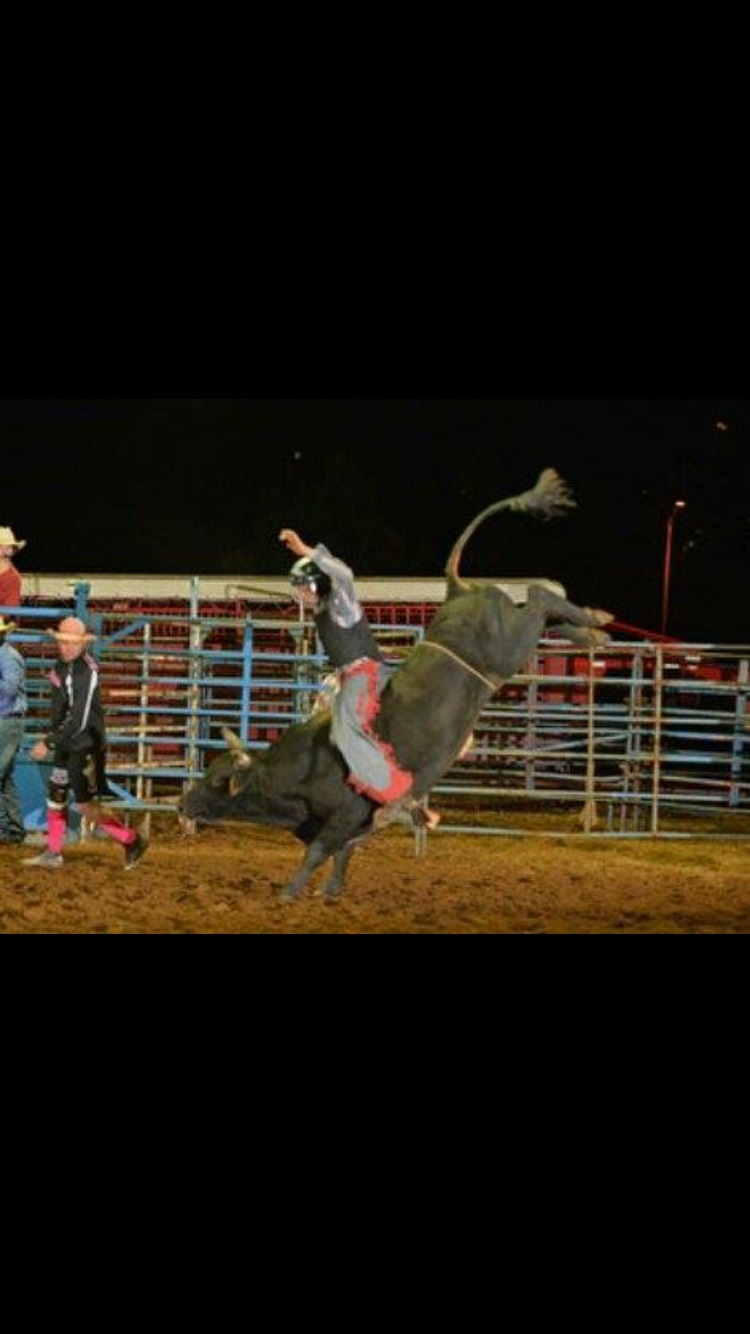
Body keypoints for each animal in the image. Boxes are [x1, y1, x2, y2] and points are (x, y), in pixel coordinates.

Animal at [182, 474, 613, 901]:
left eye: (218, 780)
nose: (182, 803)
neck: (298, 774)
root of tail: (457, 591)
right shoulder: (352, 822)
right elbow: (342, 851)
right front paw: (330, 892)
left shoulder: (349, 812)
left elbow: (320, 850)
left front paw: (289, 894)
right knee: (545, 612)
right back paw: (592, 631)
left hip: (507, 647)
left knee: (540, 597)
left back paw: (593, 619)